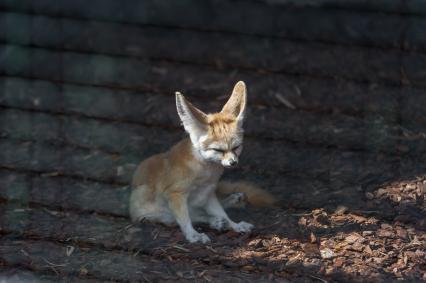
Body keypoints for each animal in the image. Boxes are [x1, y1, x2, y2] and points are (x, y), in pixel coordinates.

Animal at [130, 81, 274, 243]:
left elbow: (222, 213)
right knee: (189, 217)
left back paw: (229, 206)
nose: (233, 163)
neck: (205, 173)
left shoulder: (208, 193)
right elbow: (185, 220)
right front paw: (193, 235)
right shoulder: (175, 194)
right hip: (158, 213)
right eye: (218, 150)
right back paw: (215, 221)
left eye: (236, 147)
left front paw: (234, 225)